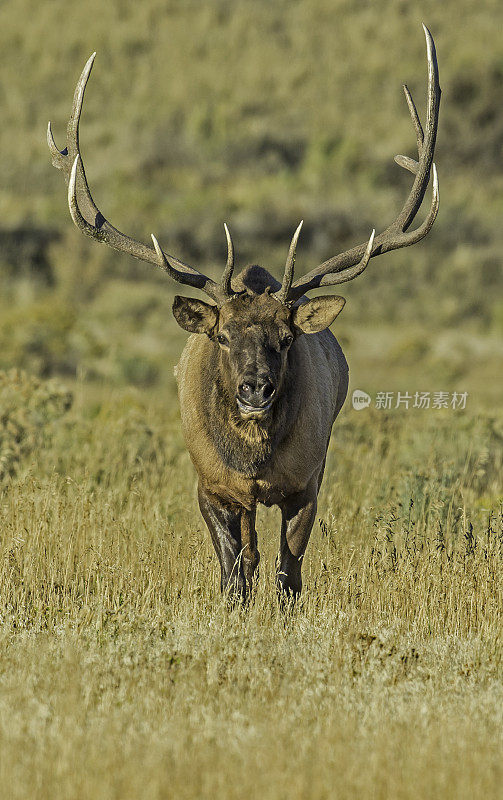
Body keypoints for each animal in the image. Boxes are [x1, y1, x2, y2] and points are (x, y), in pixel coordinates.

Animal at [48, 23, 440, 600]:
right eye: (223, 336)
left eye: (287, 337)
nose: (256, 388)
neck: (253, 460)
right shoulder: (210, 484)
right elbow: (233, 571)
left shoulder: (306, 482)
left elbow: (288, 571)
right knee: (247, 552)